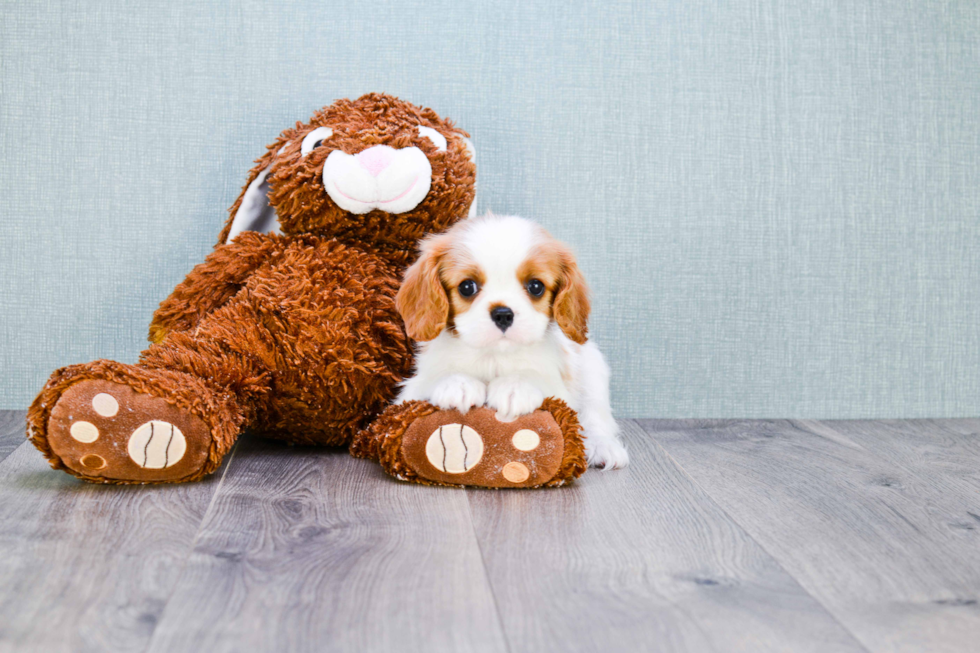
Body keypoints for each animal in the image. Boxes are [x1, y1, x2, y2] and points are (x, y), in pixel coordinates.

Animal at [396, 214, 628, 468]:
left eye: (536, 286)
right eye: (467, 287)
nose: (503, 314)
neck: (494, 355)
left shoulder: (560, 388)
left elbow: (536, 377)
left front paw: (515, 387)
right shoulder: (410, 392)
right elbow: (437, 377)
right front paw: (458, 383)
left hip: (592, 369)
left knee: (596, 415)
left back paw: (602, 446)